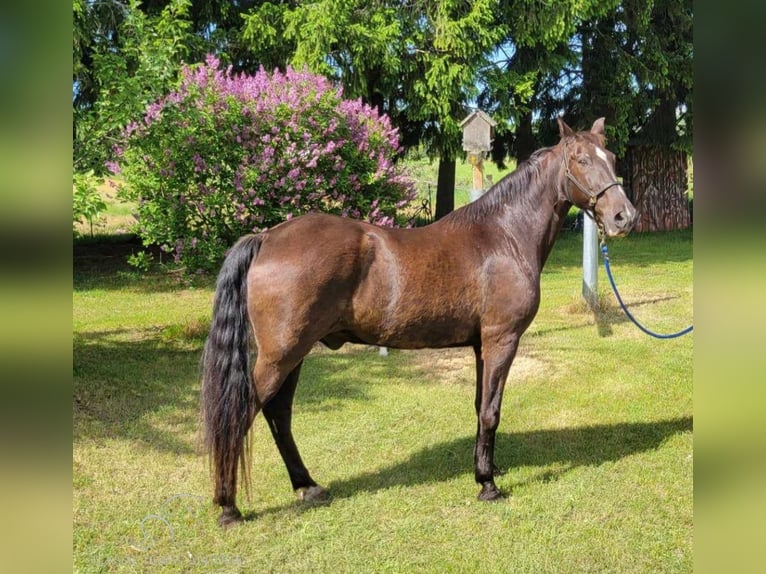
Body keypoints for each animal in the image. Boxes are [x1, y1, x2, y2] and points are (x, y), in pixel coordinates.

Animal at [201, 118, 640, 532]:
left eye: (611, 158)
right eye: (581, 160)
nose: (625, 217)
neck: (504, 236)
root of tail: (267, 237)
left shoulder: (481, 346)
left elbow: (480, 405)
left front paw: (487, 468)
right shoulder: (501, 340)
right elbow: (491, 411)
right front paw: (488, 485)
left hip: (295, 353)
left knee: (278, 413)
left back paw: (307, 486)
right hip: (282, 354)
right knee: (241, 414)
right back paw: (229, 507)